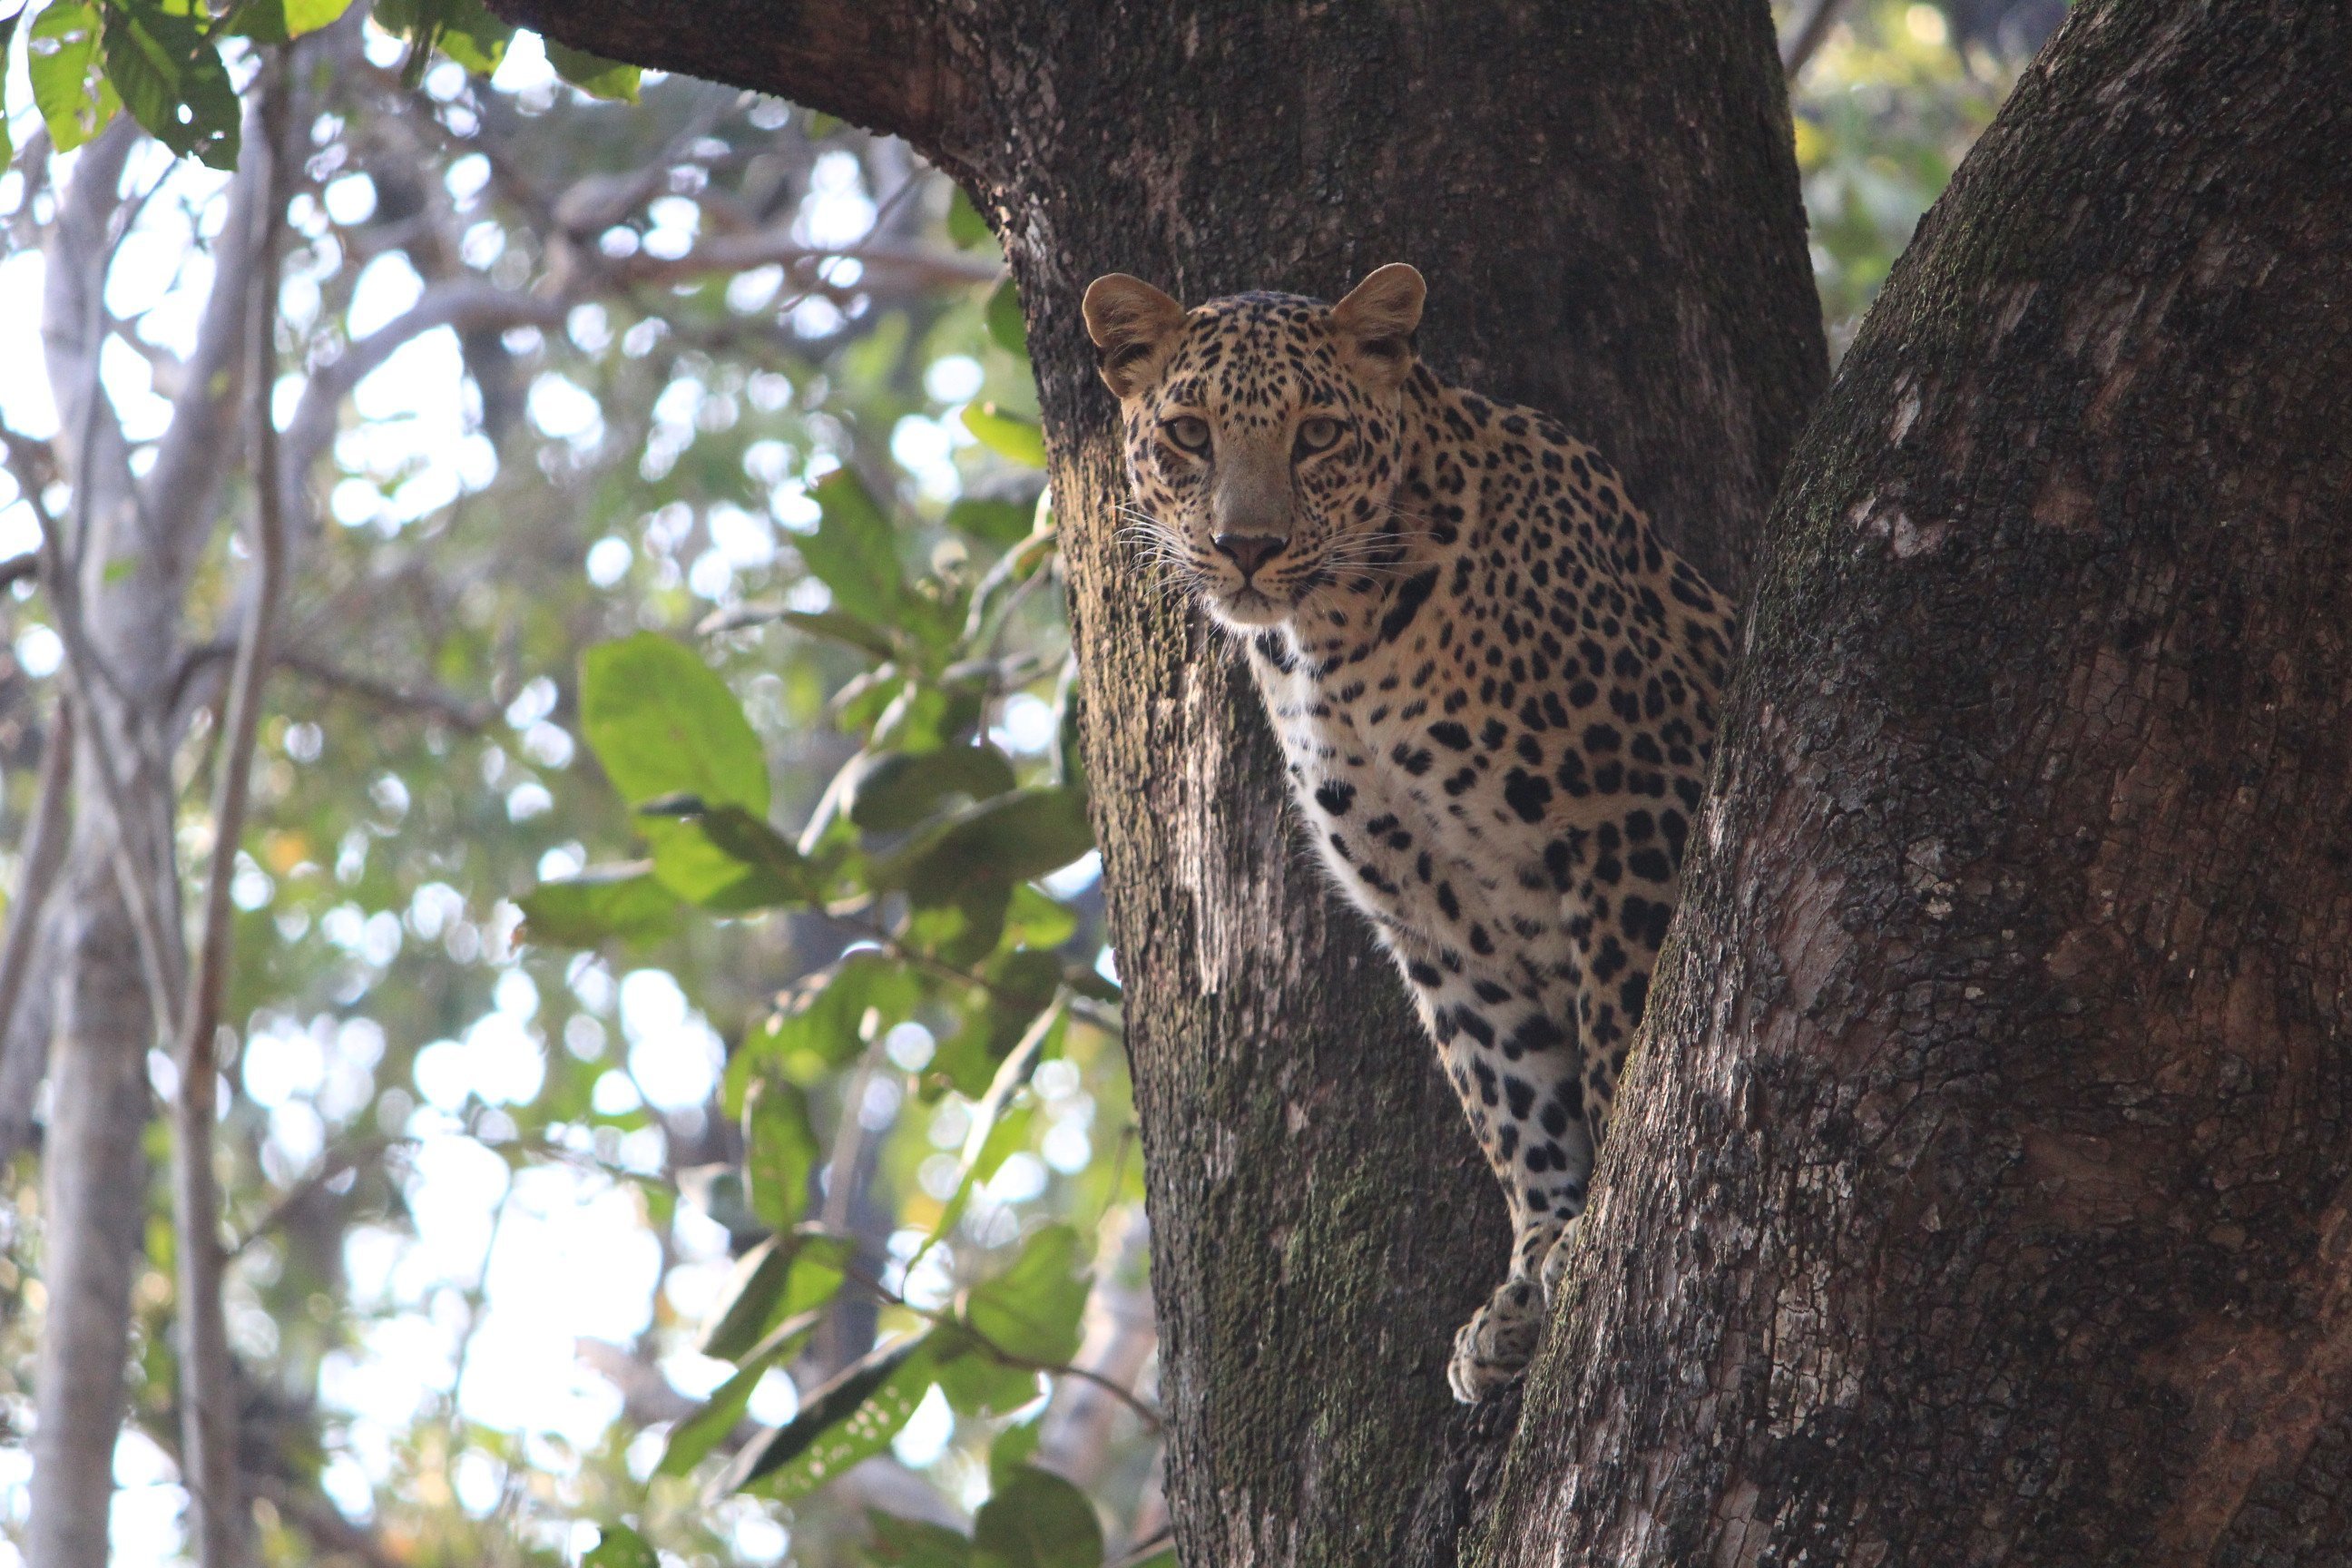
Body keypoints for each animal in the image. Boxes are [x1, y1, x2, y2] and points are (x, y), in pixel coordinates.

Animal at [1091, 263, 1740, 1401]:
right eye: (1188, 433)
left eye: (1316, 435)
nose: (1246, 548)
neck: (1336, 639)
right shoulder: (1432, 909)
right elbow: (1511, 1093)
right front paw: (1532, 1269)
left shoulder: (1629, 802)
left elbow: (1622, 1029)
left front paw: (1595, 1219)